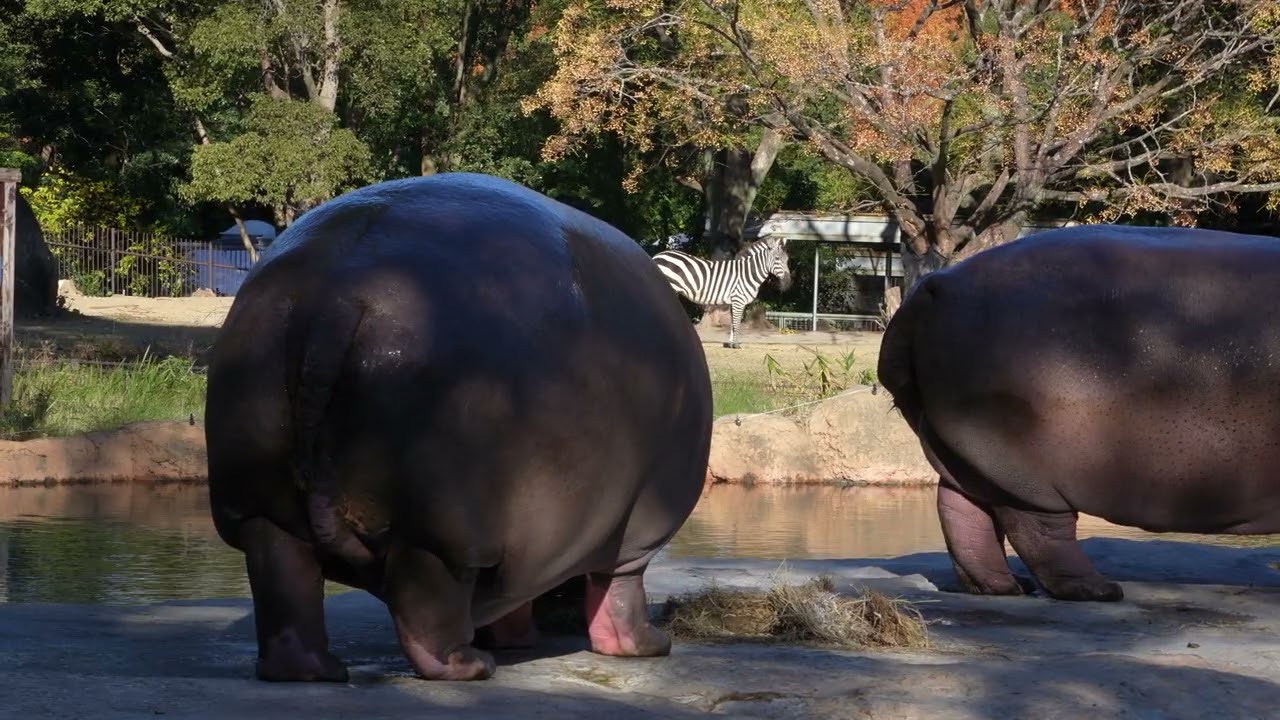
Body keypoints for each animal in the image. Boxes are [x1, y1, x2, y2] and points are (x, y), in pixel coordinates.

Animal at [204, 172, 713, 682]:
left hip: (257, 497)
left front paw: (515, 639)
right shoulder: (639, 528)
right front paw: (650, 646)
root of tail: (337, 293)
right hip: (442, 529)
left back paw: (316, 672)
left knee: (286, 584)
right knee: (425, 605)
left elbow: (517, 598)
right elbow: (620, 592)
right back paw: (470, 666)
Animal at [652, 236, 792, 349]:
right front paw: (735, 345)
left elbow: (732, 323)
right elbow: (736, 323)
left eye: (787, 259)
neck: (747, 273)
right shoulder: (738, 299)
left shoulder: (733, 301)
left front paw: (730, 344)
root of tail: (657, 255)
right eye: (777, 258)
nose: (788, 283)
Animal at [878, 223, 1280, 602]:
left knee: (961, 507)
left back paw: (1003, 586)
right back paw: (1098, 590)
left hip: (964, 447)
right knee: (1038, 528)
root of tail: (936, 286)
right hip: (1021, 465)